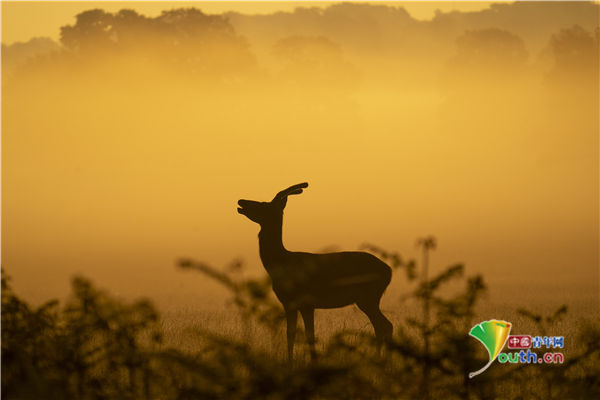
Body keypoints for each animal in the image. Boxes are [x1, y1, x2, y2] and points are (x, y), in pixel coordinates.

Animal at [239, 183, 394, 360]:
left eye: (264, 204)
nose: (241, 201)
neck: (281, 263)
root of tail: (389, 271)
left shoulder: (307, 302)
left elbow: (310, 336)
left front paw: (313, 361)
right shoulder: (288, 303)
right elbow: (290, 334)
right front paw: (290, 362)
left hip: (368, 297)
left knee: (385, 325)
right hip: (368, 299)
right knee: (382, 326)